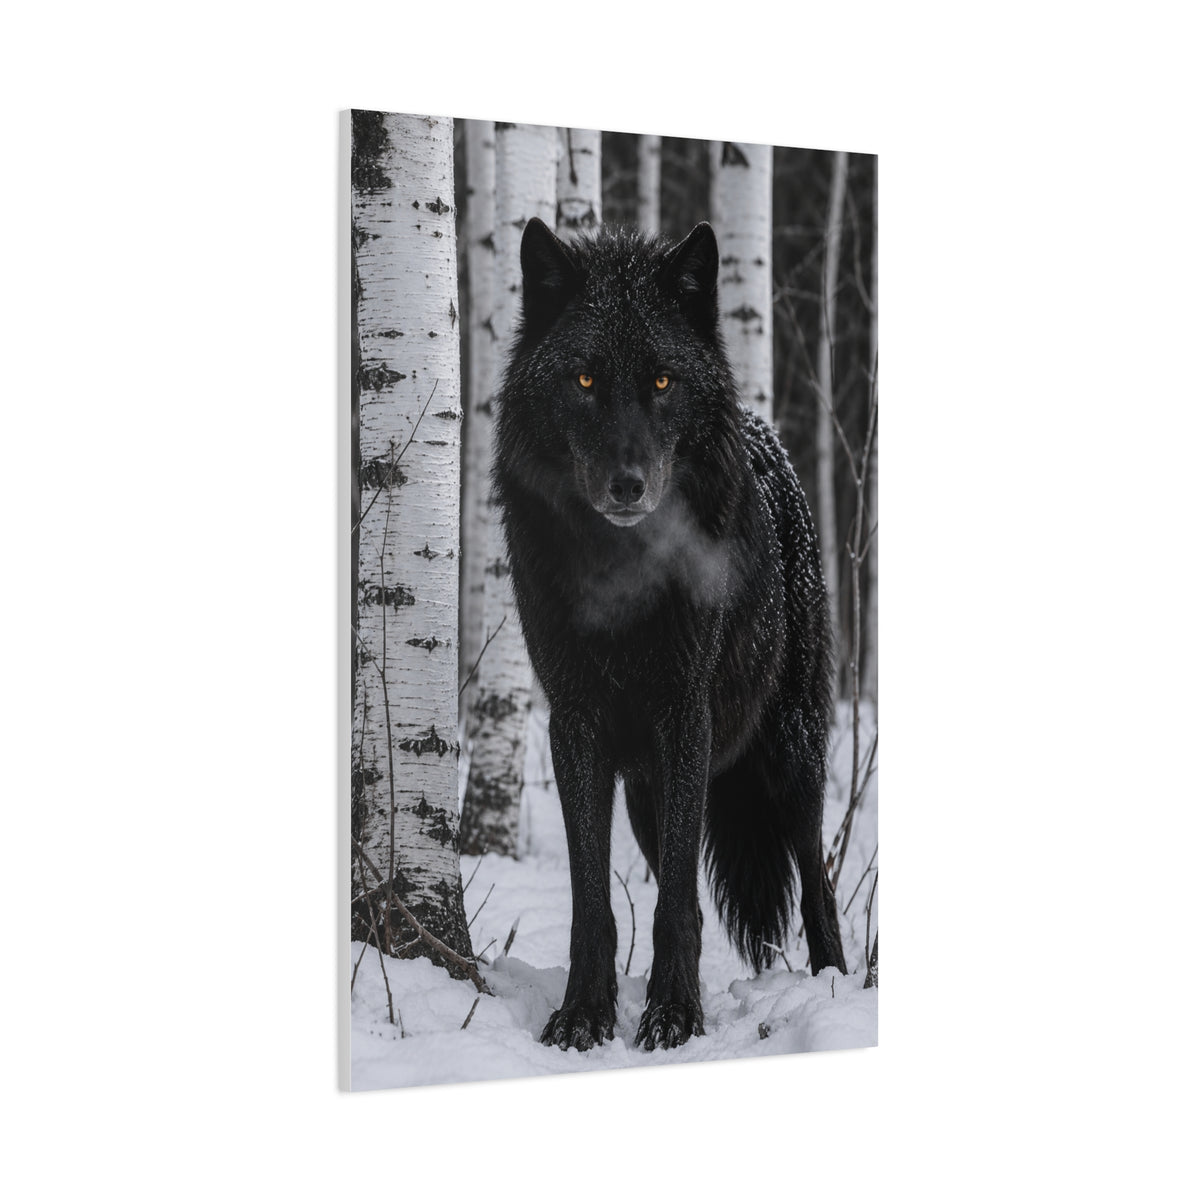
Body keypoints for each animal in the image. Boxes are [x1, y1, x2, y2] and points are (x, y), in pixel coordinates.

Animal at [493, 217, 847, 1052]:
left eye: (661, 383)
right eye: (585, 381)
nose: (628, 485)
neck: (621, 575)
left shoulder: (684, 716)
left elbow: (678, 902)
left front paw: (675, 1015)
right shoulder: (576, 725)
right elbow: (596, 900)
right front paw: (585, 1014)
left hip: (789, 758)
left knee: (817, 885)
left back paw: (836, 987)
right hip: (648, 794)